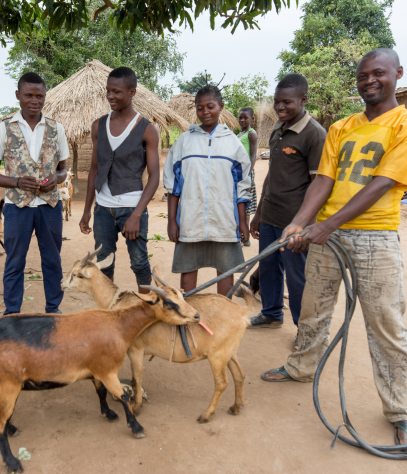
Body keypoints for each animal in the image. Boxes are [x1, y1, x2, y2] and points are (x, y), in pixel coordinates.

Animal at [0, 276, 199, 472]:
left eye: (180, 296)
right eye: (169, 304)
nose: (196, 316)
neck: (118, 325)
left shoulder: (97, 370)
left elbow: (101, 392)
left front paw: (108, 413)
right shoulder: (108, 371)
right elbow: (123, 396)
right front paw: (136, 427)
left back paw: (12, 429)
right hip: (9, 386)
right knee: (1, 423)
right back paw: (13, 463)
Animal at [61, 250, 253, 424]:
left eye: (77, 274)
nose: (62, 283)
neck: (119, 305)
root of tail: (242, 312)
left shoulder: (136, 350)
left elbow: (137, 377)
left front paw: (137, 407)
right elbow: (134, 377)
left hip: (217, 357)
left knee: (222, 382)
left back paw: (206, 415)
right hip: (229, 352)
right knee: (240, 374)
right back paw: (236, 407)